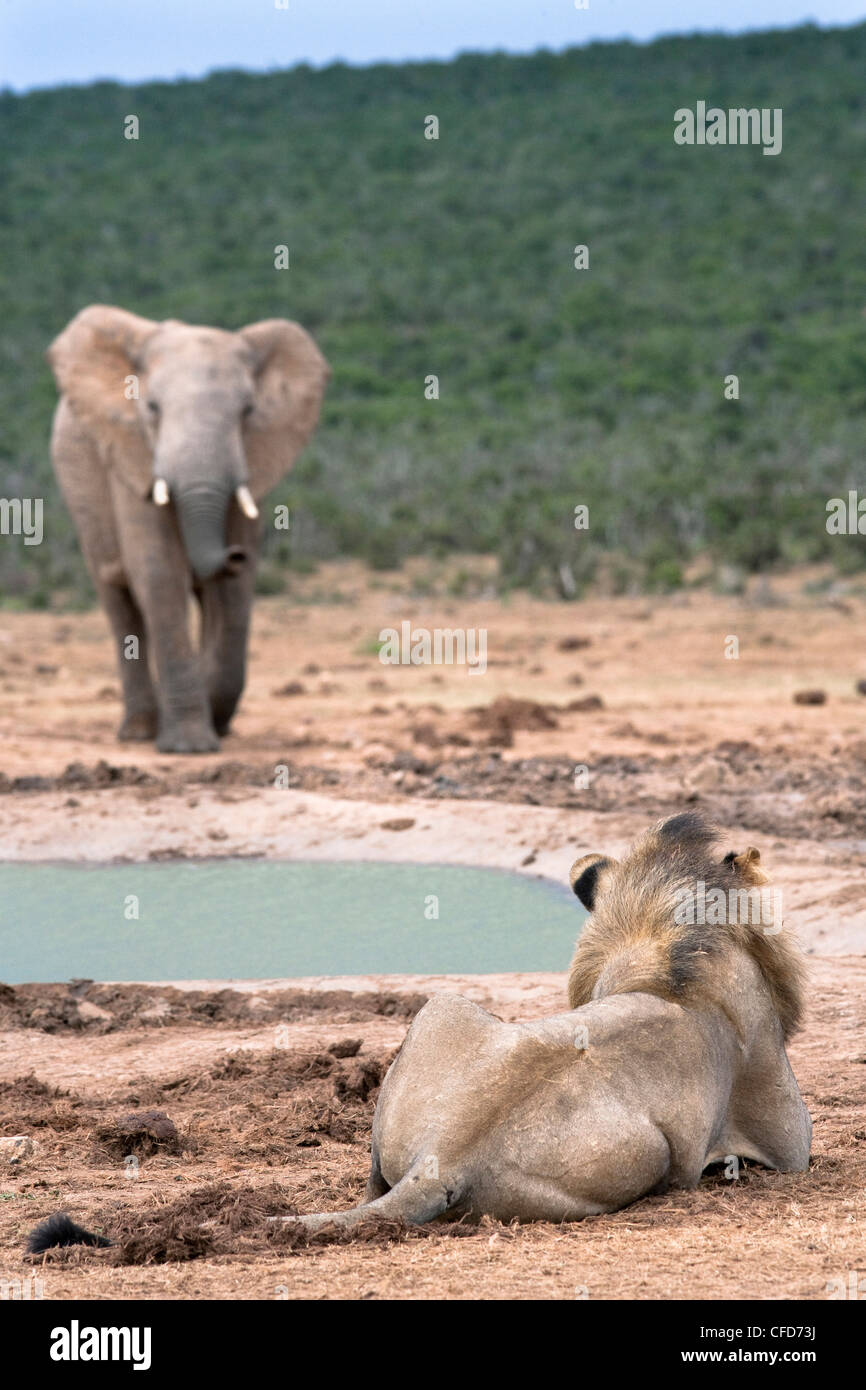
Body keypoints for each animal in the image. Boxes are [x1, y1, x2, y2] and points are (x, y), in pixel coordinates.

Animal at [48, 309, 332, 756]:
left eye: (248, 410)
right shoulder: (130, 455)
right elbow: (159, 573)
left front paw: (213, 724)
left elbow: (233, 594)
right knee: (119, 602)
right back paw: (139, 731)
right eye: (151, 407)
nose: (234, 554)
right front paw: (189, 747)